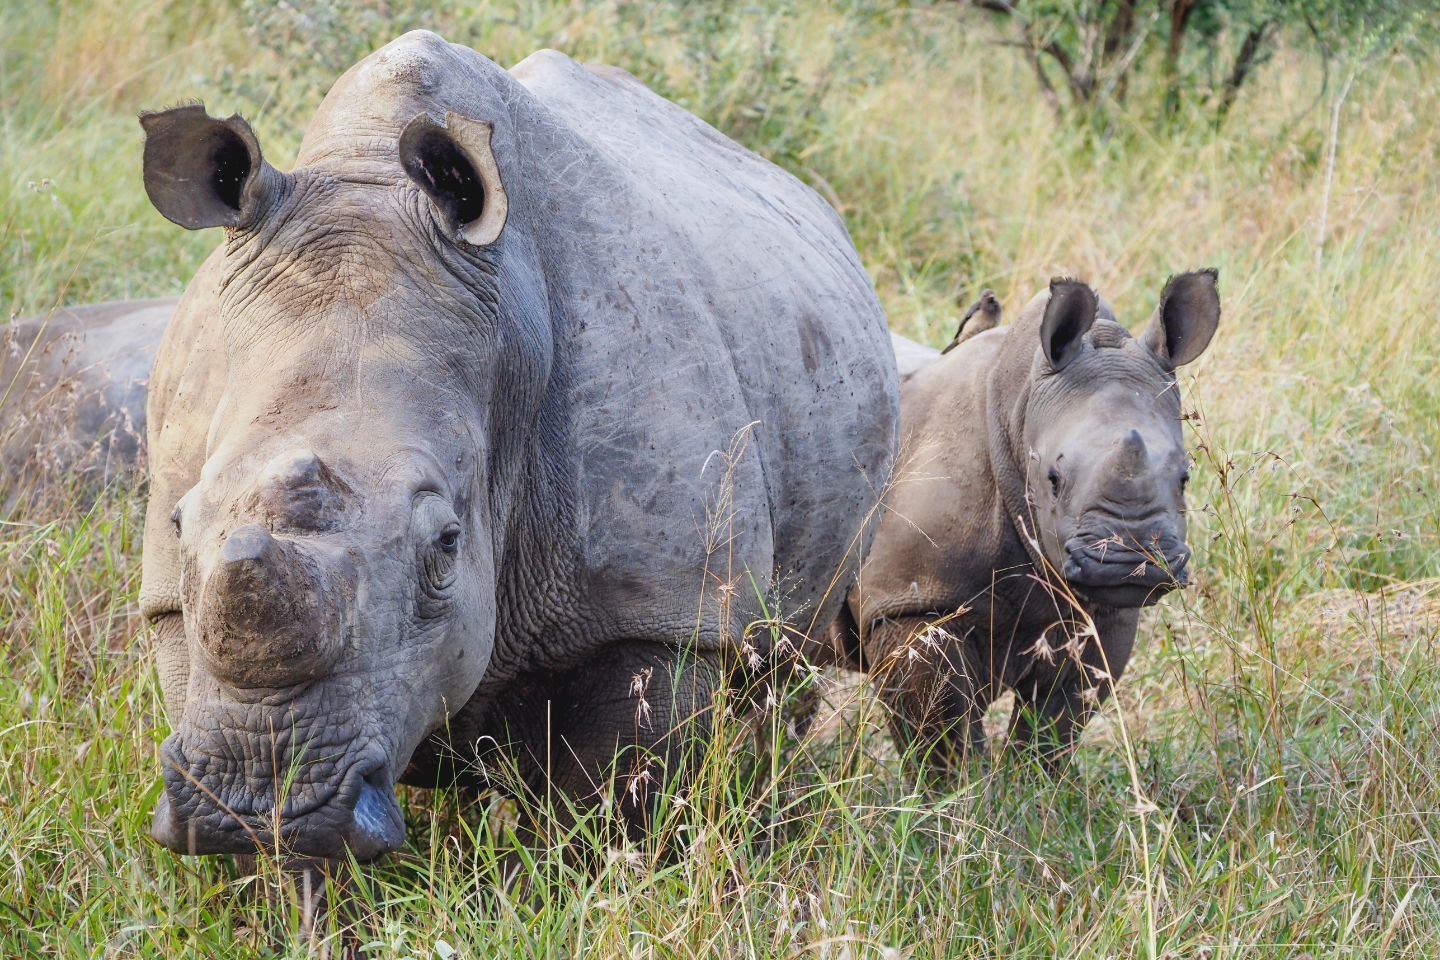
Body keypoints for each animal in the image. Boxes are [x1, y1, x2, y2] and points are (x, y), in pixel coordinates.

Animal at [829, 270, 1221, 771]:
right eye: (1053, 479)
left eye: (1185, 478)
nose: (1129, 563)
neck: (1019, 410)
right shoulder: (907, 604)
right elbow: (940, 734)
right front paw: (960, 792)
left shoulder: (1104, 615)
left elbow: (1056, 724)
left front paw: (1034, 788)